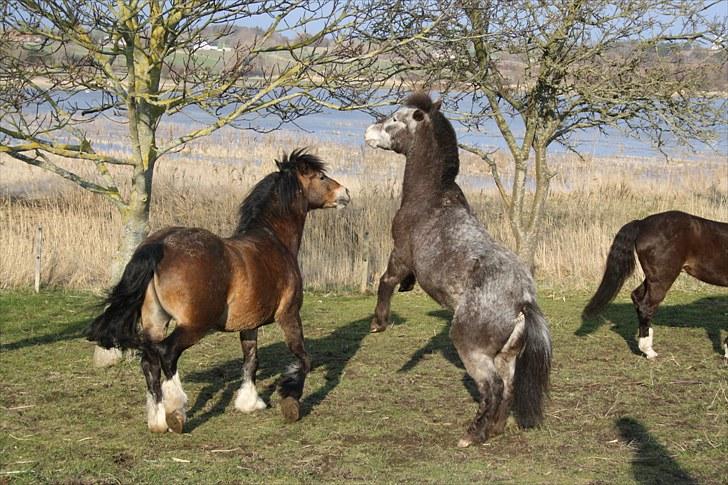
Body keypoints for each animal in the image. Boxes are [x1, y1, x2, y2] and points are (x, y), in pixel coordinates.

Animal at [86, 149, 352, 432]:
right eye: (321, 177)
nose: (345, 192)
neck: (274, 241)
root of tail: (159, 245)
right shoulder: (289, 314)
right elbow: (303, 358)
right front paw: (290, 402)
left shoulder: (250, 324)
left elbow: (251, 360)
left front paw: (250, 402)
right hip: (194, 325)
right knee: (167, 355)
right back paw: (176, 413)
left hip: (155, 324)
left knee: (150, 362)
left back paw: (157, 421)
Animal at [364, 92, 552, 448]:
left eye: (396, 118)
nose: (368, 132)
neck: (430, 198)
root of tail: (522, 300)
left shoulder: (400, 254)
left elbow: (386, 281)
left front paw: (378, 323)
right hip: (505, 356)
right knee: (507, 387)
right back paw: (494, 429)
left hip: (472, 349)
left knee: (492, 388)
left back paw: (472, 434)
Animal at [584, 210, 728, 358]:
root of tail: (641, 223)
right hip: (662, 279)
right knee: (646, 306)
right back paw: (649, 351)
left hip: (653, 279)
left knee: (637, 298)